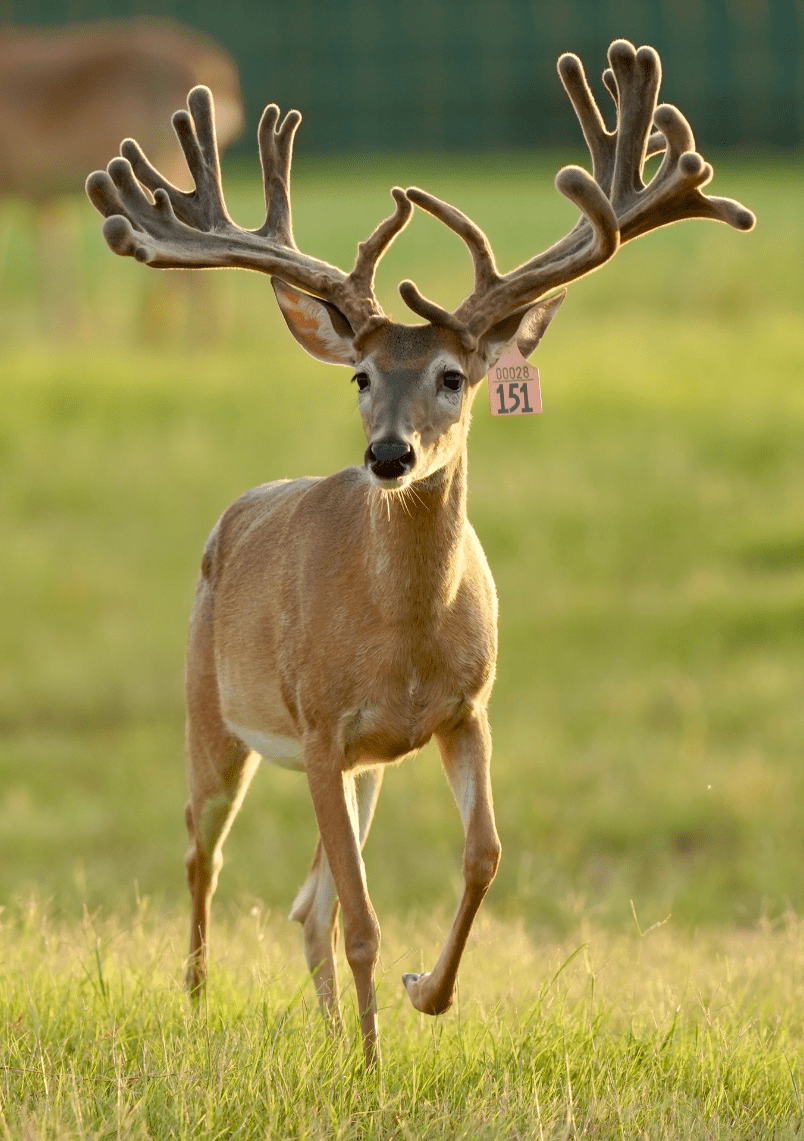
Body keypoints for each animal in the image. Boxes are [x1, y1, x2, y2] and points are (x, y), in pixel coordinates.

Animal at [86, 40, 754, 1067]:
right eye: (361, 375)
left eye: (453, 375)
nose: (389, 455)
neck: (400, 635)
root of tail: (233, 516)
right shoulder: (322, 724)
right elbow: (365, 918)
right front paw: (374, 1065)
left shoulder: (463, 709)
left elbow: (483, 856)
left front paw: (420, 998)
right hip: (214, 712)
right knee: (206, 849)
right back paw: (199, 999)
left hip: (363, 769)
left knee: (305, 901)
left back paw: (326, 1032)